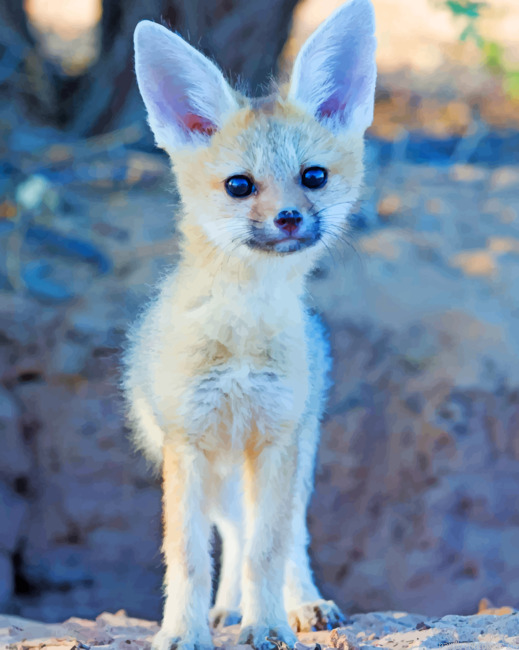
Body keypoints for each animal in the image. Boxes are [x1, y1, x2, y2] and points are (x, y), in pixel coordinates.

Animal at [123, 1, 377, 649]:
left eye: (313, 177)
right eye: (240, 185)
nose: (288, 218)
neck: (240, 339)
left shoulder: (277, 439)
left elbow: (270, 548)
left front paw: (268, 626)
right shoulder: (189, 444)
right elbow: (189, 556)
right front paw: (183, 631)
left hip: (291, 456)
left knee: (285, 538)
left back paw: (301, 603)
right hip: (213, 472)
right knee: (232, 534)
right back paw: (227, 609)